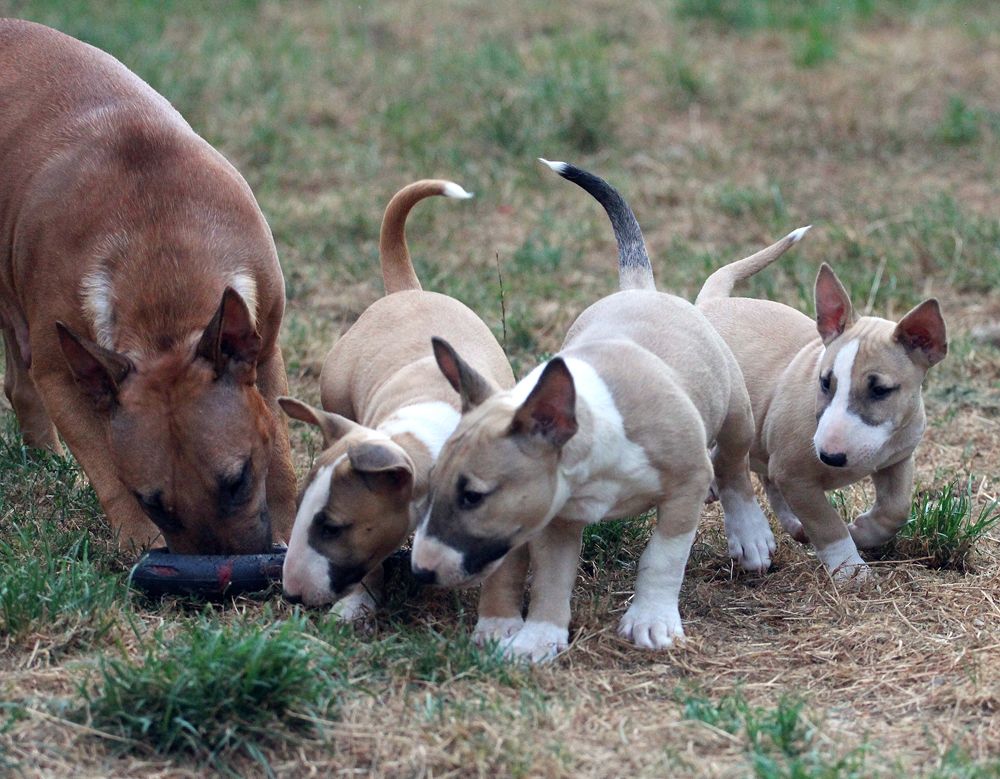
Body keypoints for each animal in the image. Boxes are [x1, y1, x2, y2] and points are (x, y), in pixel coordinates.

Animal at [0, 18, 296, 556]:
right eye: (154, 503)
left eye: (239, 480)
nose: (217, 572)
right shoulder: (62, 377)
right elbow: (107, 472)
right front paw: (139, 543)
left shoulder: (263, 351)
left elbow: (282, 455)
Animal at [278, 183, 528, 640]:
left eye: (331, 527)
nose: (291, 595)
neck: (424, 442)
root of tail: (405, 291)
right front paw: (356, 605)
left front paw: (497, 627)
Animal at [406, 161, 772, 660]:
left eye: (473, 496)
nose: (420, 572)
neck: (599, 434)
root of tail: (641, 288)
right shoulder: (554, 516)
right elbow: (552, 579)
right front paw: (538, 639)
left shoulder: (686, 484)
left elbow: (663, 557)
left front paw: (652, 621)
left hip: (735, 411)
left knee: (733, 467)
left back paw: (751, 535)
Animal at [696, 230, 944, 580]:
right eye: (825, 382)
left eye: (881, 390)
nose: (830, 456)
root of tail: (711, 303)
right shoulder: (794, 475)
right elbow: (826, 522)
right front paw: (850, 569)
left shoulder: (897, 458)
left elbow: (895, 509)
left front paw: (862, 530)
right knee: (724, 461)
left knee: (760, 476)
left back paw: (793, 526)